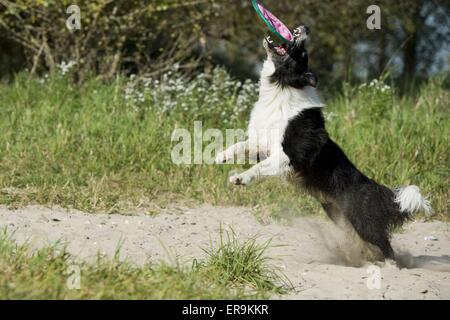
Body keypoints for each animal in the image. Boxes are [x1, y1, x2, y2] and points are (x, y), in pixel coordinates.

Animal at [218, 26, 432, 262]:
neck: (282, 86)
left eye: (302, 54)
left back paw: (389, 265)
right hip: (339, 216)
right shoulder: (264, 144)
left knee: (386, 247)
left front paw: (241, 178)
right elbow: (241, 146)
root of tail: (381, 193)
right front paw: (222, 155)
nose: (305, 28)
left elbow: (257, 167)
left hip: (364, 223)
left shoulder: (289, 156)